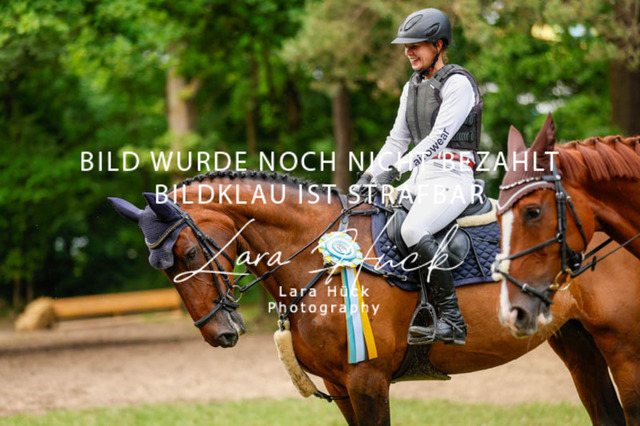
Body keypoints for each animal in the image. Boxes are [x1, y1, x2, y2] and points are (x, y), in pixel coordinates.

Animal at [109, 170, 631, 425]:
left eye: (189, 252)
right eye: (163, 268)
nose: (219, 333)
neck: (319, 256)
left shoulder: (368, 381)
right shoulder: (341, 387)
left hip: (623, 346)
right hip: (575, 340)